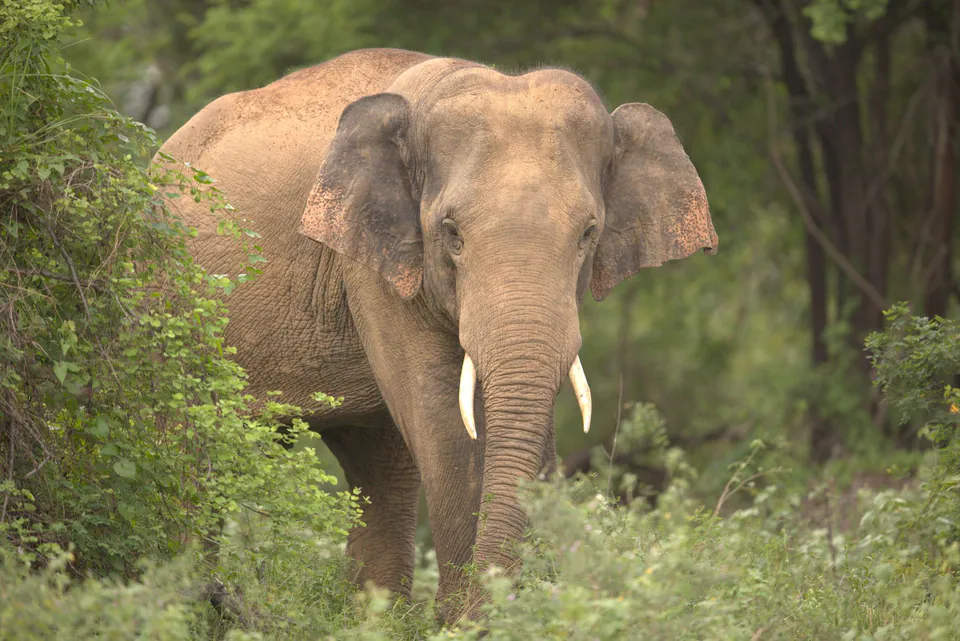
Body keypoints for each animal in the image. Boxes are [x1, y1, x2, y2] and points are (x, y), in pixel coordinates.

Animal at [156, 48, 717, 620]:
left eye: (588, 233)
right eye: (450, 233)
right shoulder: (373, 266)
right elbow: (444, 421)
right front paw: (465, 622)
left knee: (377, 463)